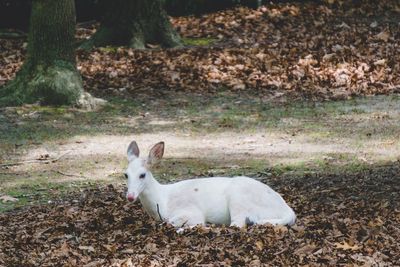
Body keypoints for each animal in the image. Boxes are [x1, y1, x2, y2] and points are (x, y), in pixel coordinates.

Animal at [125, 141, 296, 229]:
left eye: (142, 175)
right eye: (125, 174)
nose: (130, 196)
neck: (162, 201)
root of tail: (288, 211)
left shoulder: (191, 211)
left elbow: (172, 222)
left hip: (239, 198)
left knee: (237, 224)